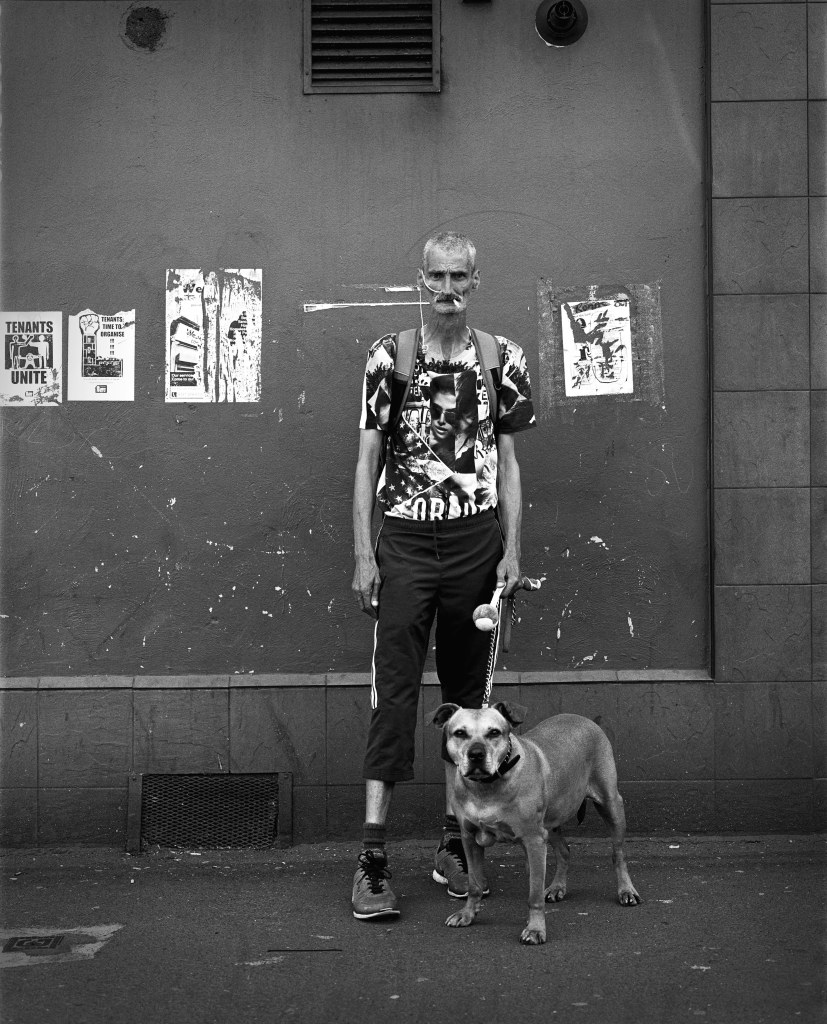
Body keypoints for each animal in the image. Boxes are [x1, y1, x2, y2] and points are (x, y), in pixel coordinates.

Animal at [431, 704, 638, 942]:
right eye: (460, 733)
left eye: (494, 733)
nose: (476, 755)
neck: (486, 788)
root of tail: (590, 721)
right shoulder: (470, 839)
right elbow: (474, 884)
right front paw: (467, 914)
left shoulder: (534, 841)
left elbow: (534, 895)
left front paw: (536, 929)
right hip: (553, 820)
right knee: (564, 851)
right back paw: (557, 888)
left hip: (611, 805)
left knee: (618, 854)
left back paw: (626, 891)